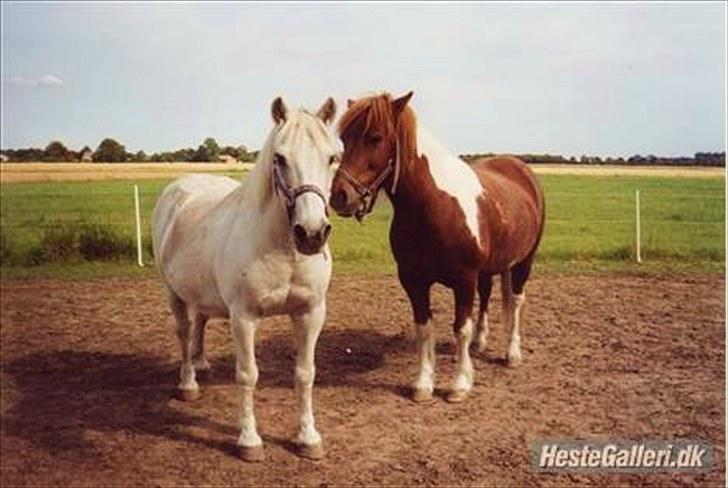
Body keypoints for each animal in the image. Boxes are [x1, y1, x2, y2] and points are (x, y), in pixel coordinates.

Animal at [152, 96, 340, 462]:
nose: (311, 234)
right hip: (174, 293)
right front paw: (249, 441)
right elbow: (248, 375)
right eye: (280, 158)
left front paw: (308, 438)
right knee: (184, 331)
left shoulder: (311, 313)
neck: (283, 250)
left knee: (201, 322)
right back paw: (189, 383)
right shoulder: (244, 318)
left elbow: (305, 374)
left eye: (332, 157)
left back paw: (202, 364)